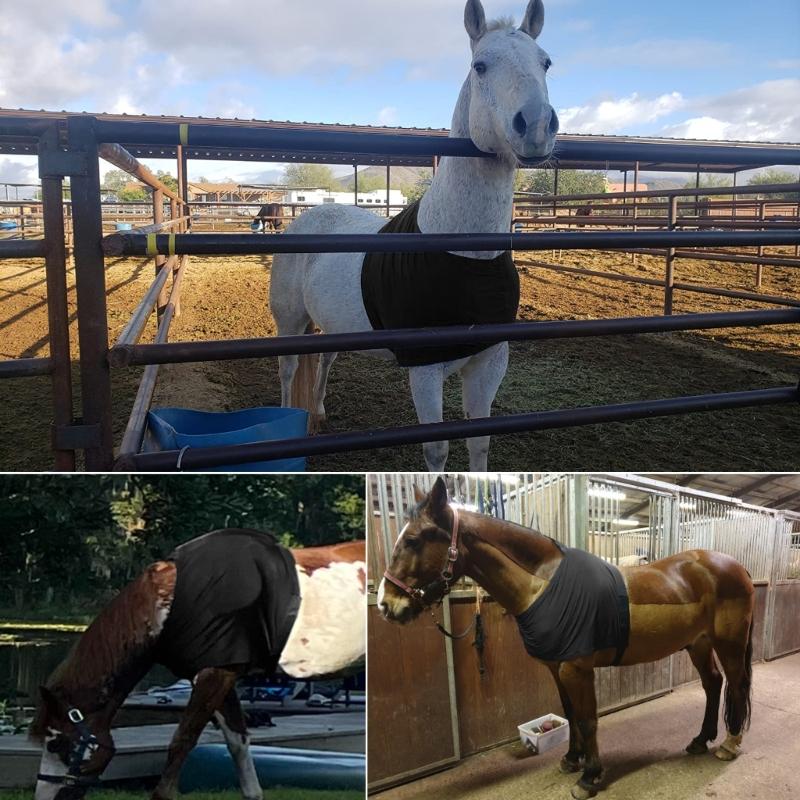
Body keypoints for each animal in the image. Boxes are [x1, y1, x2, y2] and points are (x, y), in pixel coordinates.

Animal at [31, 530, 366, 800]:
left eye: (55, 745)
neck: (174, 599)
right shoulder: (221, 674)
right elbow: (237, 742)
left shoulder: (214, 674)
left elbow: (181, 742)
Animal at [269, 0, 558, 471]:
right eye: (480, 65)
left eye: (545, 62)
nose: (534, 125)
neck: (465, 254)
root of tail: (310, 217)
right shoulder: (424, 370)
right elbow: (436, 448)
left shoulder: (490, 362)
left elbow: (480, 442)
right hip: (289, 321)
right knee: (288, 368)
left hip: (330, 324)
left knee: (325, 359)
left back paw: (319, 414)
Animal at [378, 478, 754, 800]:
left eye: (413, 540)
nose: (385, 604)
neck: (543, 586)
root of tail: (734, 567)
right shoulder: (555, 668)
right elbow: (570, 713)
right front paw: (572, 759)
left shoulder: (577, 669)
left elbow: (588, 719)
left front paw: (590, 776)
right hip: (698, 643)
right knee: (712, 683)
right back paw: (700, 740)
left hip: (729, 644)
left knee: (735, 684)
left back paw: (729, 744)